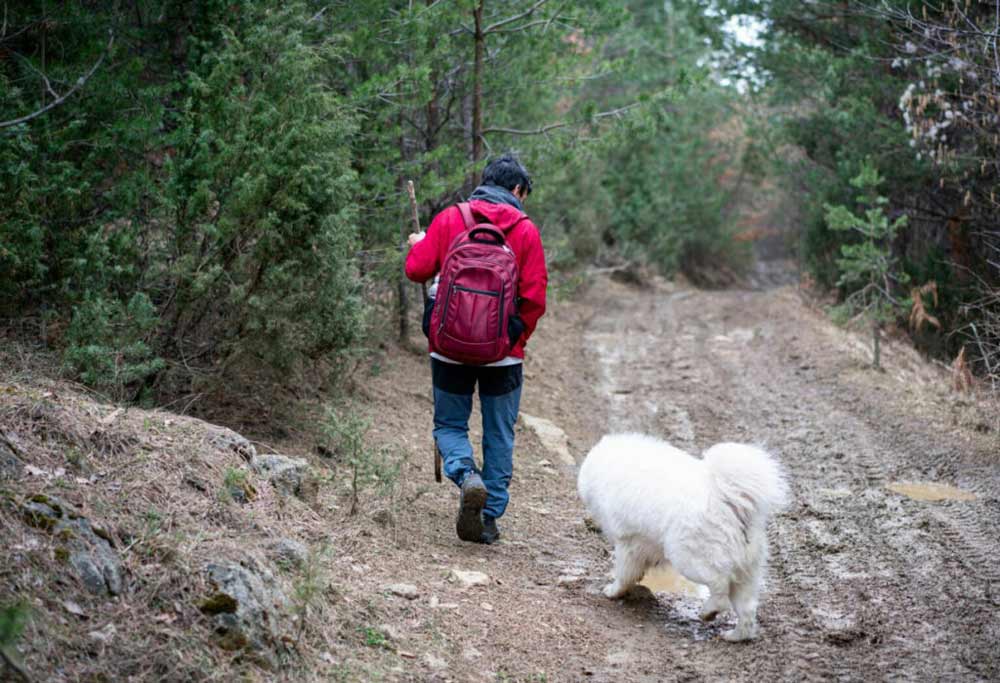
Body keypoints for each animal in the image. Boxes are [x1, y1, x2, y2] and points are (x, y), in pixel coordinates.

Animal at [580, 432, 788, 640]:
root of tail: (729, 502)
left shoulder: (628, 541)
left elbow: (624, 572)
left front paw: (613, 591)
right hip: (746, 572)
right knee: (747, 610)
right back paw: (734, 636)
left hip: (690, 559)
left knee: (719, 585)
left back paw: (709, 611)